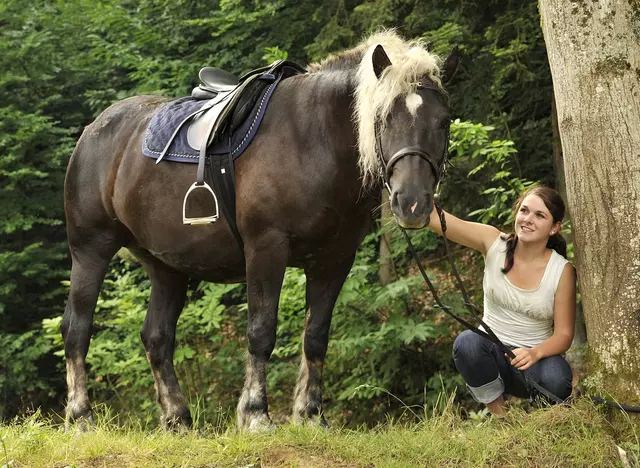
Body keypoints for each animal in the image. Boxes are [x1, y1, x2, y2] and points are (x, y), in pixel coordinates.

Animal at [61, 30, 460, 432]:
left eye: (444, 121)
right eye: (384, 116)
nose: (413, 203)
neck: (314, 141)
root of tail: (94, 130)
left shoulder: (334, 259)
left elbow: (316, 337)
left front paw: (310, 414)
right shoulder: (266, 249)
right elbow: (261, 331)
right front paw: (255, 414)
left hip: (166, 267)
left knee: (156, 337)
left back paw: (177, 418)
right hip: (90, 251)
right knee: (76, 329)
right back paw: (81, 416)